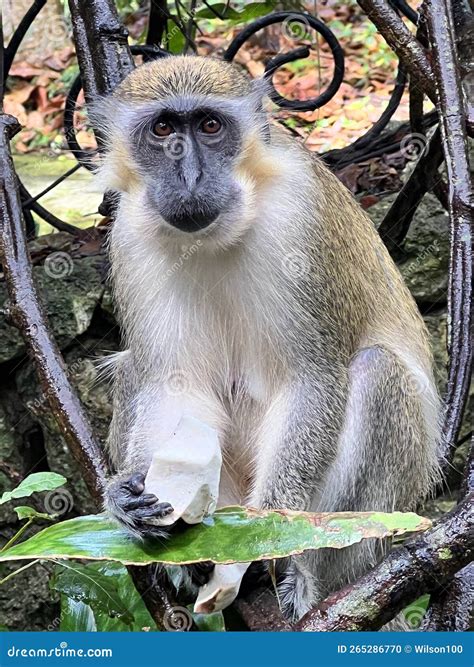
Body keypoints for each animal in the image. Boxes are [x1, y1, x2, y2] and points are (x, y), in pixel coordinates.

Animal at [93, 55, 441, 621]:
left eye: (210, 126)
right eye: (163, 129)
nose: (190, 176)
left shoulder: (302, 218)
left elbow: (312, 379)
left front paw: (263, 534)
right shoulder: (128, 235)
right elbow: (174, 386)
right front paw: (126, 495)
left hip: (377, 532)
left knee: (376, 371)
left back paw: (302, 573)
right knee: (132, 370)